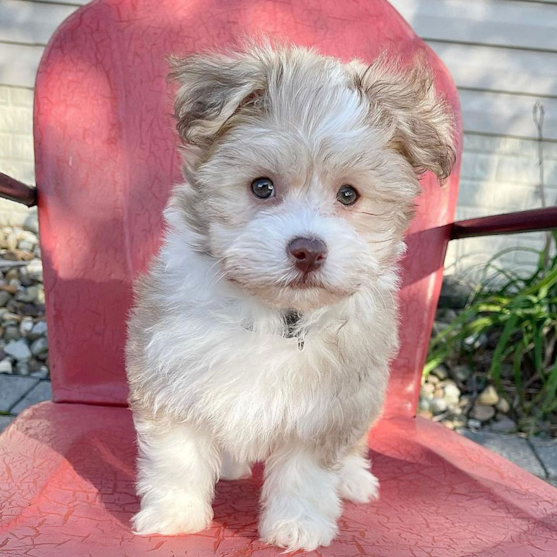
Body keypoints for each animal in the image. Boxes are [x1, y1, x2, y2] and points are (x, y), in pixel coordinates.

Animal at [127, 41, 456, 548]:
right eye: (262, 187)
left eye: (348, 195)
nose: (308, 250)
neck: (278, 314)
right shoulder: (167, 373)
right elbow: (177, 456)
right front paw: (174, 515)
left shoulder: (329, 406)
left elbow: (306, 473)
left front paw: (297, 526)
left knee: (355, 443)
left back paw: (354, 479)